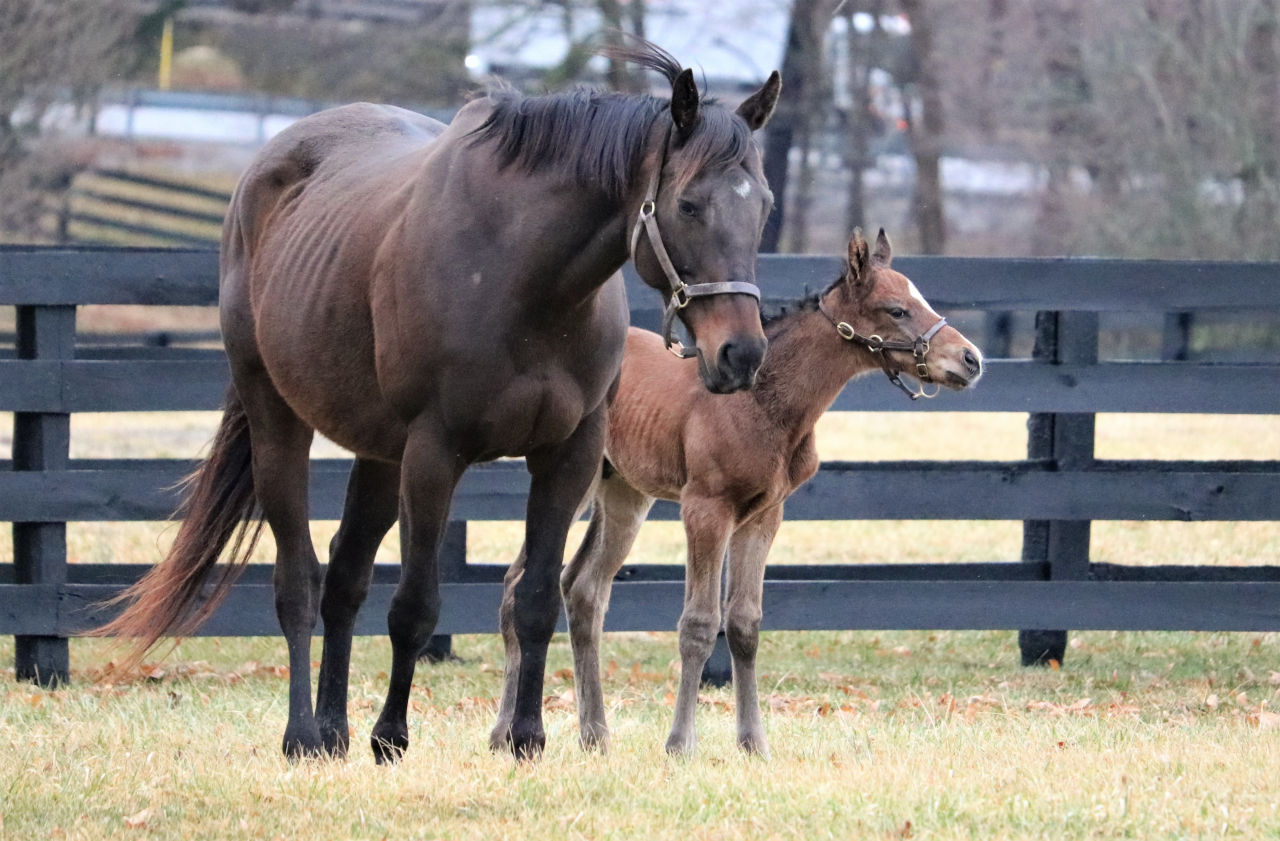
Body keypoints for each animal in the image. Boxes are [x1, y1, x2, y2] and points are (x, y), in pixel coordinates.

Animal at [97, 40, 778, 762]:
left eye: (762, 204)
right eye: (688, 205)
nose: (740, 353)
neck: (524, 277)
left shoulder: (568, 455)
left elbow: (538, 597)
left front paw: (525, 738)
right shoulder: (434, 453)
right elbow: (415, 605)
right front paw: (391, 735)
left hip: (378, 453)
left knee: (345, 577)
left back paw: (334, 730)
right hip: (278, 423)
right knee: (298, 582)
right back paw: (304, 734)